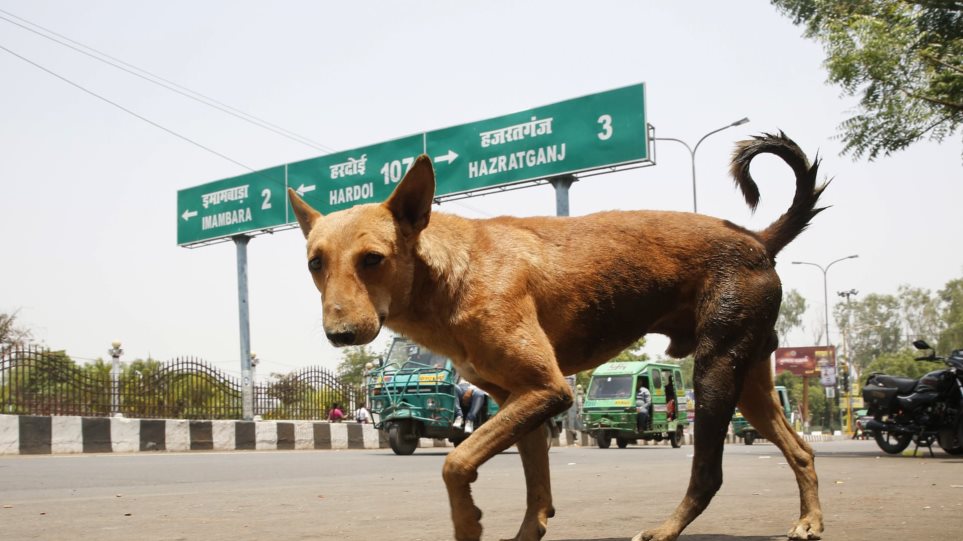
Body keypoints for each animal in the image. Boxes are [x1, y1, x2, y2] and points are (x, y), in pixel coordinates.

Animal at [290, 132, 824, 540]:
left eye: (372, 259)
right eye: (315, 263)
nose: (339, 334)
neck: (450, 275)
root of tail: (758, 239)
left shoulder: (547, 389)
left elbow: (456, 462)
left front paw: (469, 523)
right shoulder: (520, 397)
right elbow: (537, 488)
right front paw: (528, 530)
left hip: (715, 374)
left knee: (708, 473)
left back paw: (665, 530)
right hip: (748, 379)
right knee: (800, 449)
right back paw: (810, 521)